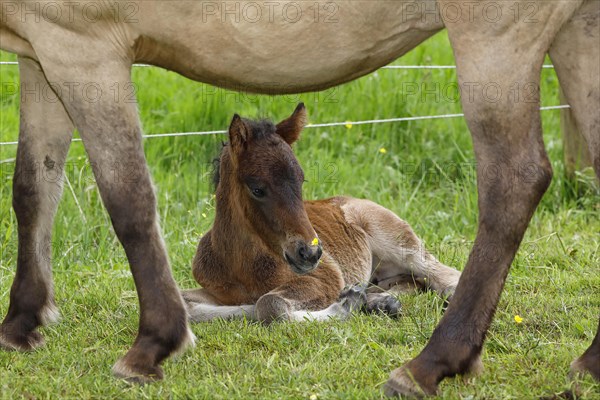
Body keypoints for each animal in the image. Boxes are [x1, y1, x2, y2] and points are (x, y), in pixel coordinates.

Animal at [183, 104, 460, 324]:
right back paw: (380, 302)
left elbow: (269, 304)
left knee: (443, 275)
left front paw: (344, 305)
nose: (311, 253)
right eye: (257, 189)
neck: (241, 267)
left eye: (301, 180)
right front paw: (355, 300)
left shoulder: (323, 278)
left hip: (400, 242)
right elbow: (189, 307)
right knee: (414, 283)